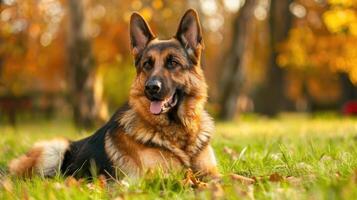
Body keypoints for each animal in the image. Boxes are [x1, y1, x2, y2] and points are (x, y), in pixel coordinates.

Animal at [8, 8, 218, 180]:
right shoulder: (161, 178)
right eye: (147, 65)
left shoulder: (211, 173)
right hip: (54, 148)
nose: (151, 88)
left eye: (173, 63)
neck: (181, 132)